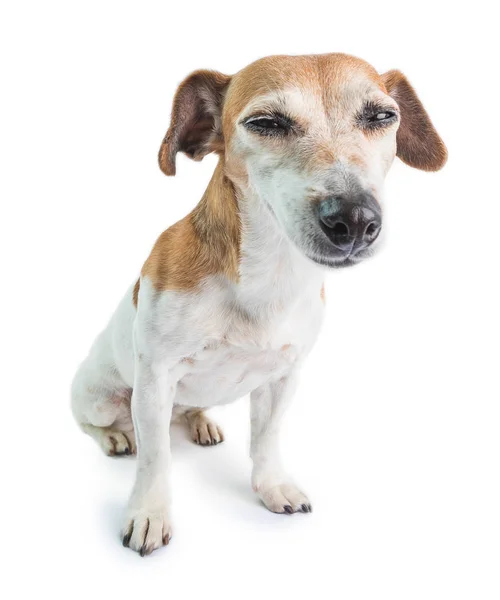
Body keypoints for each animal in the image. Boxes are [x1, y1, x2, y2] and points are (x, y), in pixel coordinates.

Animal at [72, 54, 448, 556]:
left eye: (382, 116)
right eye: (266, 123)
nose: (354, 219)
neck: (269, 277)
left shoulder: (283, 377)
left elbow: (267, 438)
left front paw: (273, 487)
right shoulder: (154, 382)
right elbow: (155, 459)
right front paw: (149, 513)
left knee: (188, 411)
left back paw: (200, 422)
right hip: (100, 399)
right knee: (96, 425)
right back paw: (115, 436)